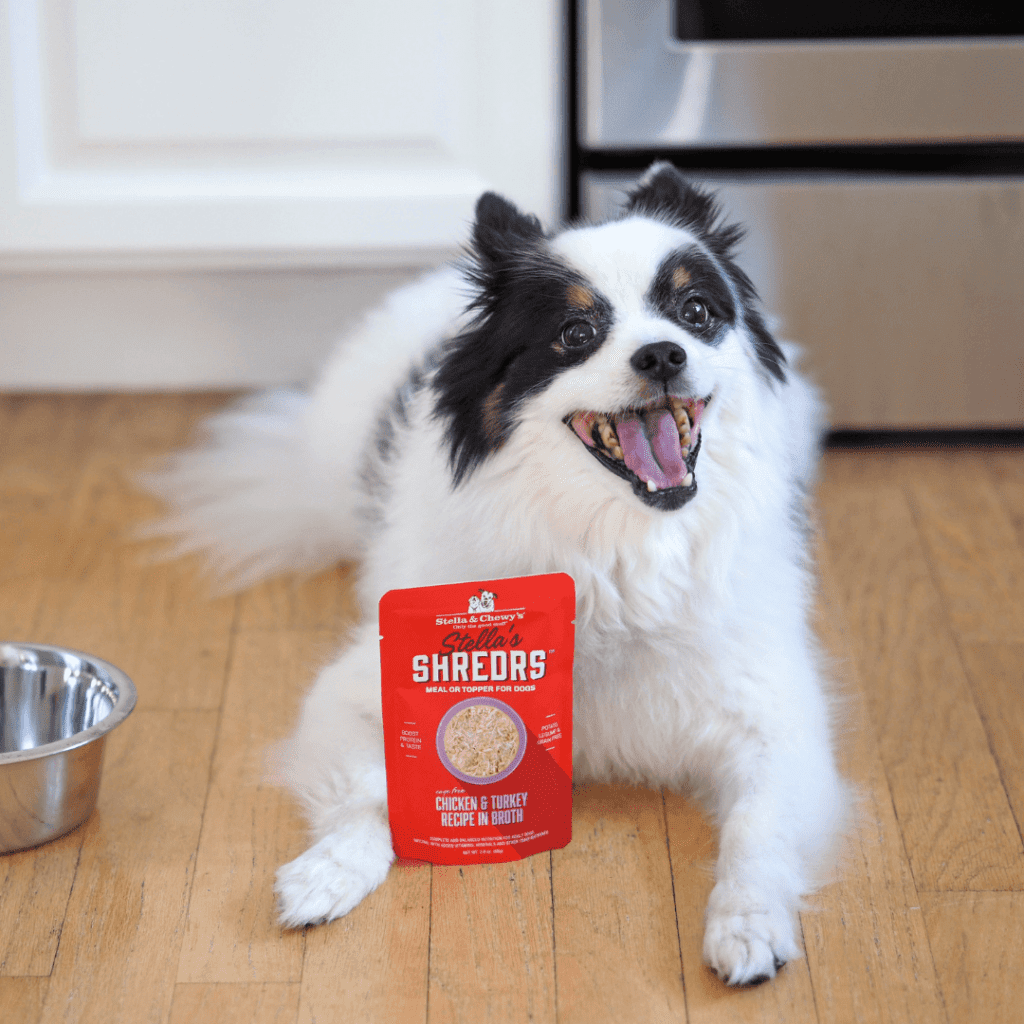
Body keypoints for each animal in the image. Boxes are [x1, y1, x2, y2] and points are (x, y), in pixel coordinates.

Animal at [144, 165, 847, 983]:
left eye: (696, 313)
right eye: (576, 335)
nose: (663, 355)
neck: (615, 553)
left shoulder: (779, 720)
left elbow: (758, 832)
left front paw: (748, 923)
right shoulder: (354, 692)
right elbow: (371, 793)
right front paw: (330, 871)